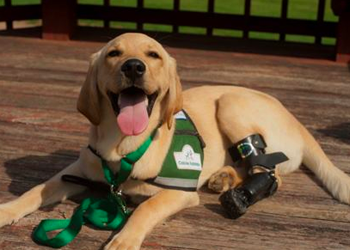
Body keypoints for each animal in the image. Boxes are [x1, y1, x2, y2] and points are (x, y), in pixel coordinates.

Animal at [0, 32, 350, 248]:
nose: (134, 66)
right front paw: (7, 209)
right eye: (114, 53)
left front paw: (123, 240)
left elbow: (145, 208)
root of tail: (296, 120)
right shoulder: (74, 173)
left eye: (153, 55)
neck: (123, 145)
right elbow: (36, 189)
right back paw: (223, 177)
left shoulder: (178, 192)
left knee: (268, 170)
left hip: (231, 102)